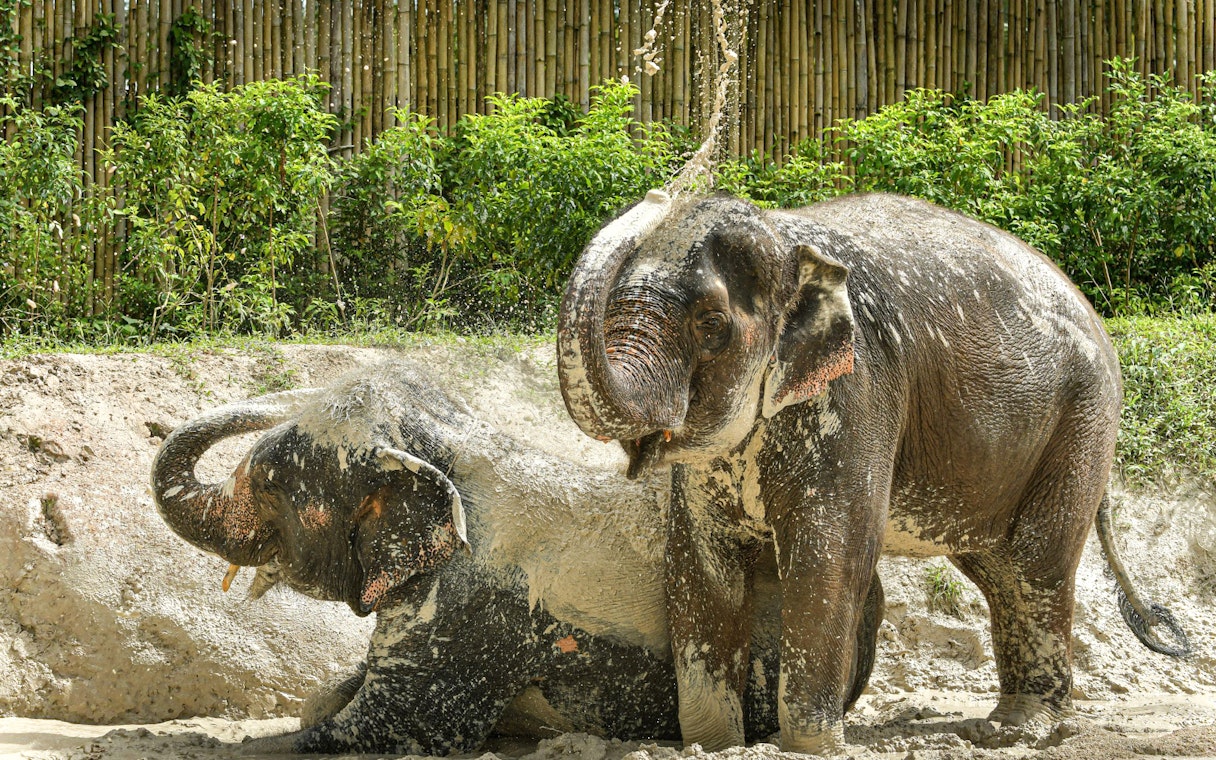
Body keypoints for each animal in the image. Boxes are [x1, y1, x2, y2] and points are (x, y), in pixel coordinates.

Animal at [556, 191, 1190, 755]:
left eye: (711, 325)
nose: (659, 194)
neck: (788, 241)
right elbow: (700, 564)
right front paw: (713, 746)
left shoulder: (860, 393)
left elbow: (830, 557)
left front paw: (813, 748)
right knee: (999, 571)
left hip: (1082, 422)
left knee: (1038, 564)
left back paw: (1017, 729)